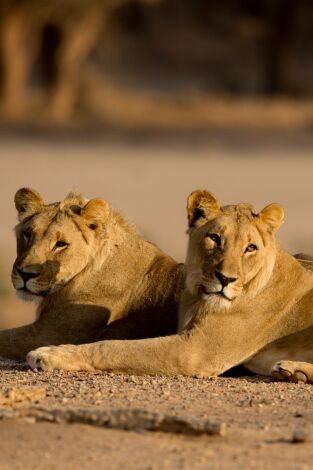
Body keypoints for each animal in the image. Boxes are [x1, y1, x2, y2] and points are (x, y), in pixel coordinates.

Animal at [25, 187, 313, 382]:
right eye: (215, 238)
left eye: (250, 248)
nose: (225, 279)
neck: (198, 296)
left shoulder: (194, 351)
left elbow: (113, 347)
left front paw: (48, 354)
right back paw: (292, 371)